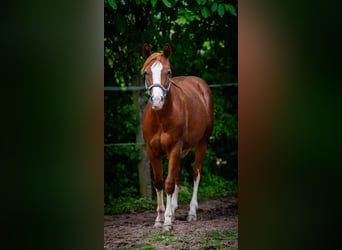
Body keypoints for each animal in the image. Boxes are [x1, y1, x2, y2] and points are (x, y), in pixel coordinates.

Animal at [140, 43, 212, 230]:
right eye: (146, 73)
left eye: (168, 72)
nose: (157, 101)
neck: (160, 117)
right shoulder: (152, 151)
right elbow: (159, 182)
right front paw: (160, 218)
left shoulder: (174, 148)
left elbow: (169, 183)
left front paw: (167, 221)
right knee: (177, 174)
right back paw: (172, 208)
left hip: (202, 143)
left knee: (195, 173)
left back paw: (191, 212)